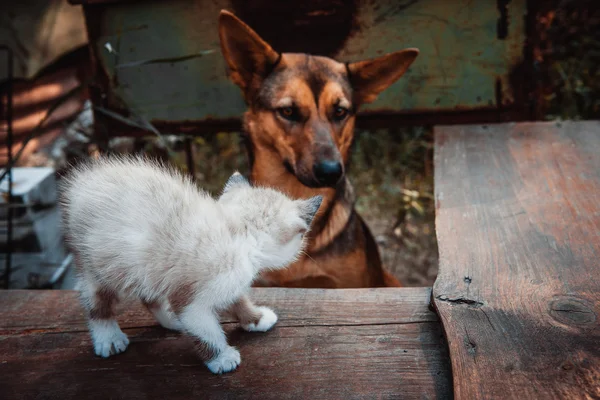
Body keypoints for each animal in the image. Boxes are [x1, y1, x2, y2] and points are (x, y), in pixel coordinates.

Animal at [59, 155, 324, 374]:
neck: (241, 233)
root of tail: (81, 184)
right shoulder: (193, 299)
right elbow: (204, 329)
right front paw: (221, 358)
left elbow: (236, 298)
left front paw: (255, 318)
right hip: (101, 263)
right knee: (96, 299)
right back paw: (108, 337)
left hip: (150, 266)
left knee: (149, 293)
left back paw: (169, 319)